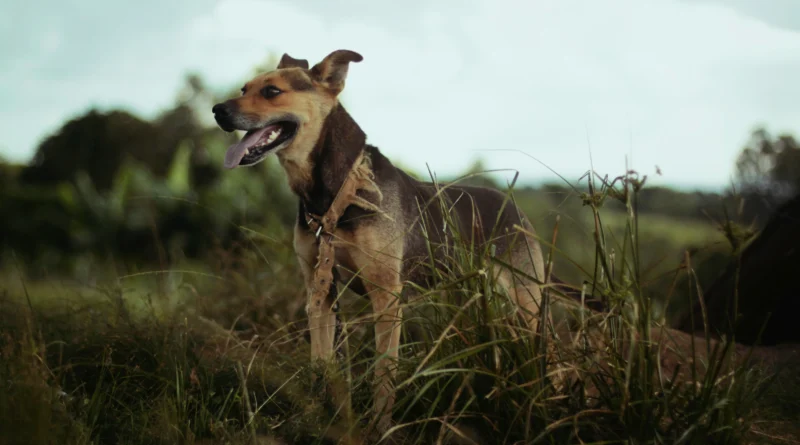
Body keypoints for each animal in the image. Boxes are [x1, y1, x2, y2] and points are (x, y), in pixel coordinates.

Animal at [211, 48, 552, 430]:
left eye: (272, 91)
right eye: (244, 89)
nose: (217, 110)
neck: (337, 191)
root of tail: (515, 209)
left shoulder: (386, 295)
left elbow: (384, 372)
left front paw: (379, 426)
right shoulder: (320, 290)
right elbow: (321, 362)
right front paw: (321, 414)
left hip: (526, 303)